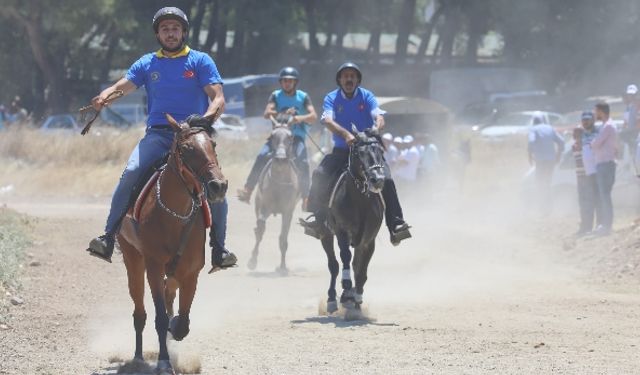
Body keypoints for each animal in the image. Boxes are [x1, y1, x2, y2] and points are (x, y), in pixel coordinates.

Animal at [117, 115, 228, 375]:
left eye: (213, 144)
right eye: (186, 149)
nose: (218, 185)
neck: (175, 214)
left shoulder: (191, 271)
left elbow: (183, 320)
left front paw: (175, 327)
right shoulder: (154, 266)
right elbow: (159, 318)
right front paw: (164, 362)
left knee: (169, 294)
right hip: (132, 258)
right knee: (139, 311)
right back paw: (138, 358)